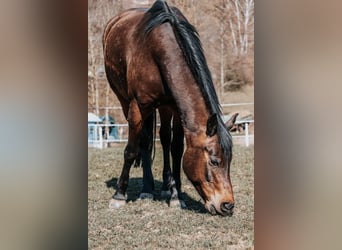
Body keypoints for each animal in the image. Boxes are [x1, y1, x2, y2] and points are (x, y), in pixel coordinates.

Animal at [103, 0, 235, 216]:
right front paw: (119, 196)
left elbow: (176, 149)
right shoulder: (137, 107)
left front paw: (176, 195)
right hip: (126, 101)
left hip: (163, 107)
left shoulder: (176, 108)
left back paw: (167, 187)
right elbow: (131, 150)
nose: (227, 205)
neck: (159, 48)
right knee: (145, 141)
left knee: (164, 139)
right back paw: (147, 189)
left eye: (230, 161)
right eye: (214, 161)